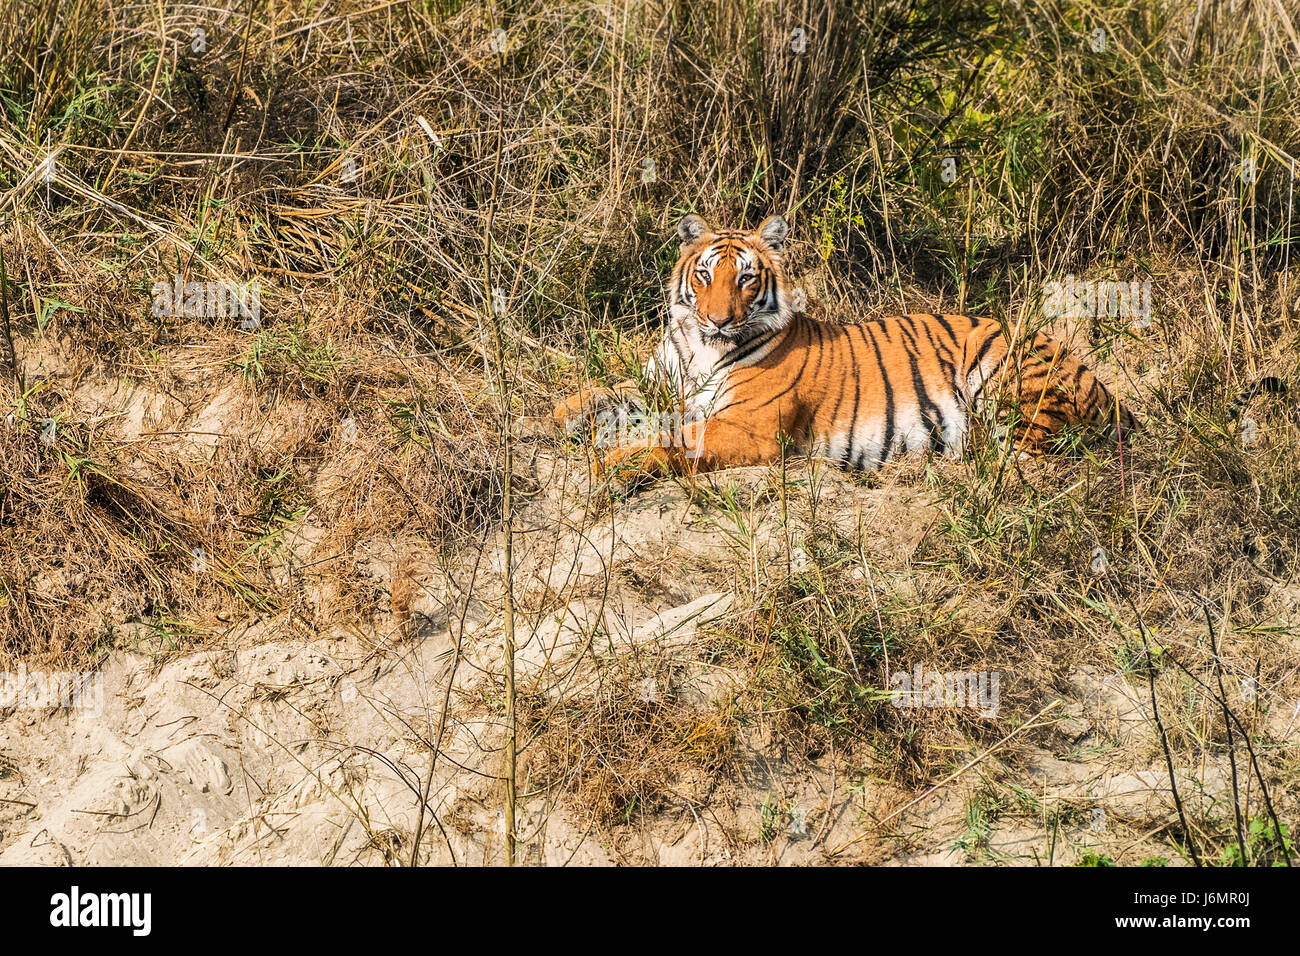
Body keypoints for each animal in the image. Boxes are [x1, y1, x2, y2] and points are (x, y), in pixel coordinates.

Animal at [553, 210, 1133, 476]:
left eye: (745, 279)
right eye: (704, 275)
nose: (718, 320)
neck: (700, 348)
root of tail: (1106, 390)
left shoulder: (744, 425)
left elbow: (669, 439)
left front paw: (605, 466)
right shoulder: (660, 381)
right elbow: (602, 392)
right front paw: (559, 416)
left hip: (1007, 373)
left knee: (1018, 454)